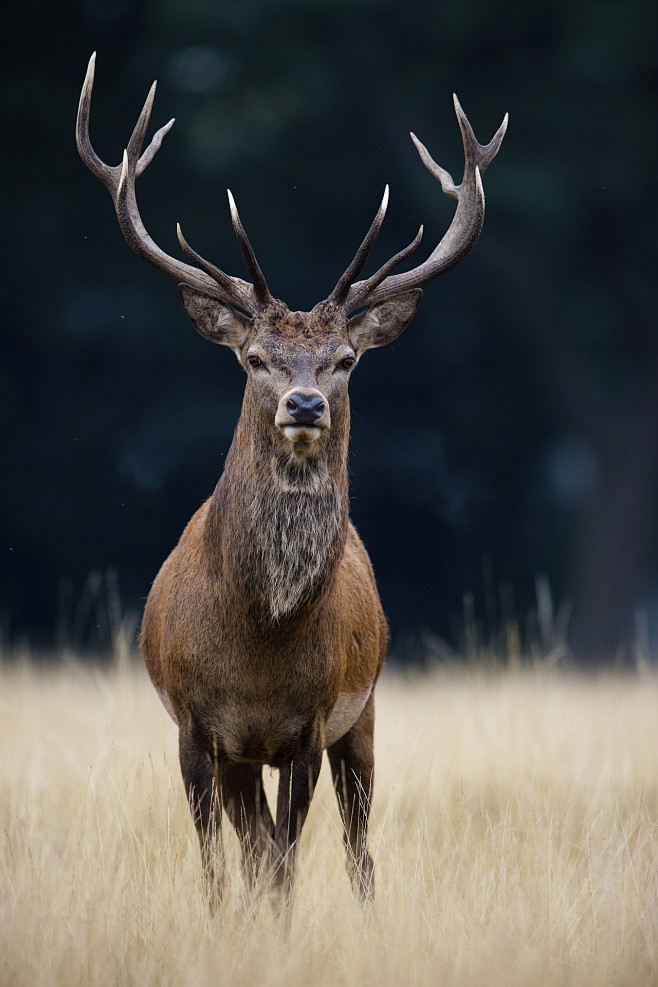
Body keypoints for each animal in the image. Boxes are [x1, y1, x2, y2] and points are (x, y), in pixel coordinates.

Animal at [78, 50, 508, 908]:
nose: (304, 402)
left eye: (344, 360)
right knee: (253, 847)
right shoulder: (196, 727)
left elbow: (284, 865)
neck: (259, 641)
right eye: (255, 358)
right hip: (250, 755)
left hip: (365, 714)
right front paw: (223, 922)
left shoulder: (310, 726)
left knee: (357, 849)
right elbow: (222, 868)